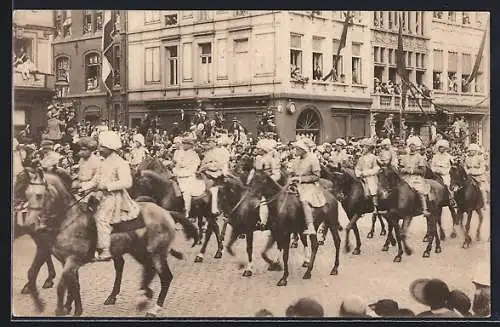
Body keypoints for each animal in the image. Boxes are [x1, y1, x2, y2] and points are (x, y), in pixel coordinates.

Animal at [22, 169, 197, 318]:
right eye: (27, 194)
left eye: (39, 195)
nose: (29, 224)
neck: (69, 220)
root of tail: (166, 212)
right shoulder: (65, 261)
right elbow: (72, 285)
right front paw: (73, 309)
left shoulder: (72, 261)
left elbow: (62, 286)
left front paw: (61, 309)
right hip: (140, 251)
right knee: (148, 270)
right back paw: (142, 297)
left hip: (156, 253)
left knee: (165, 277)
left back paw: (154, 308)